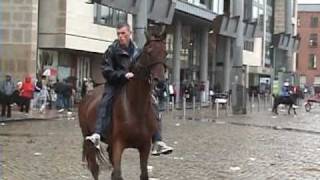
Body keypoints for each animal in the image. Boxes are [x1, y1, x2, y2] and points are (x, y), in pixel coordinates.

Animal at [78, 28, 168, 180]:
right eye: (149, 52)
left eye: (165, 53)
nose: (160, 82)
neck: (135, 108)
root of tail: (87, 96)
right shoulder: (118, 144)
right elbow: (117, 173)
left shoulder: (144, 146)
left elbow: (143, 174)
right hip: (88, 138)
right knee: (94, 168)